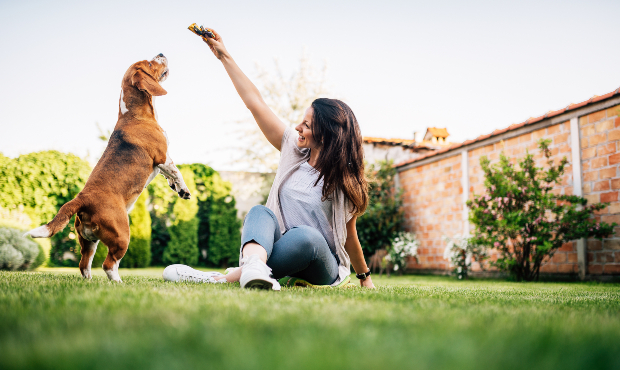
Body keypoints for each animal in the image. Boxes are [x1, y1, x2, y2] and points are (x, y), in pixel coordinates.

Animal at [24, 53, 190, 282]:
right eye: (150, 63)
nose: (161, 53)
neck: (134, 114)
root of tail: (82, 199)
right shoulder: (163, 157)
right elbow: (177, 172)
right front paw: (184, 189)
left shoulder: (162, 163)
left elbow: (170, 177)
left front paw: (176, 188)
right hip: (122, 236)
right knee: (109, 264)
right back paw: (118, 282)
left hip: (88, 241)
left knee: (84, 264)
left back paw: (90, 281)